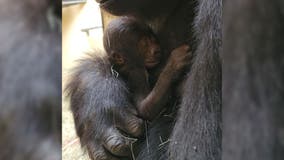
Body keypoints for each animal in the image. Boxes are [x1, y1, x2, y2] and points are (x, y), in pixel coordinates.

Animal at [67, 0, 222, 159]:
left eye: (151, 40)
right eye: (144, 44)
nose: (156, 50)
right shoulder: (137, 72)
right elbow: (144, 107)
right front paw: (100, 100)